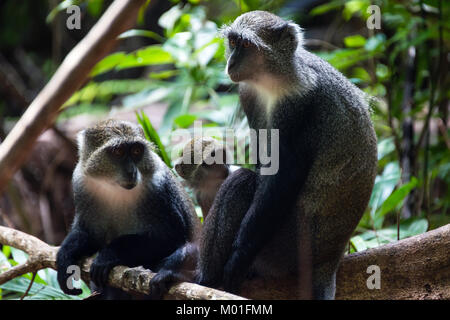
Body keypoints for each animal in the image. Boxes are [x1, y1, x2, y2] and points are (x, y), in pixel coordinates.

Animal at [55, 119, 199, 298]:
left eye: (136, 151)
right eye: (118, 151)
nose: (131, 171)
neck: (114, 187)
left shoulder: (159, 190)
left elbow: (171, 238)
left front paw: (109, 254)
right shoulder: (82, 183)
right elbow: (90, 234)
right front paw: (65, 257)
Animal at [195, 10, 378, 300]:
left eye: (246, 45)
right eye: (233, 42)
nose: (231, 62)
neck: (272, 78)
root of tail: (329, 260)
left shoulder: (298, 106)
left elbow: (283, 177)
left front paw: (237, 259)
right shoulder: (249, 95)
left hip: (287, 248)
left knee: (242, 182)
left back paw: (205, 280)